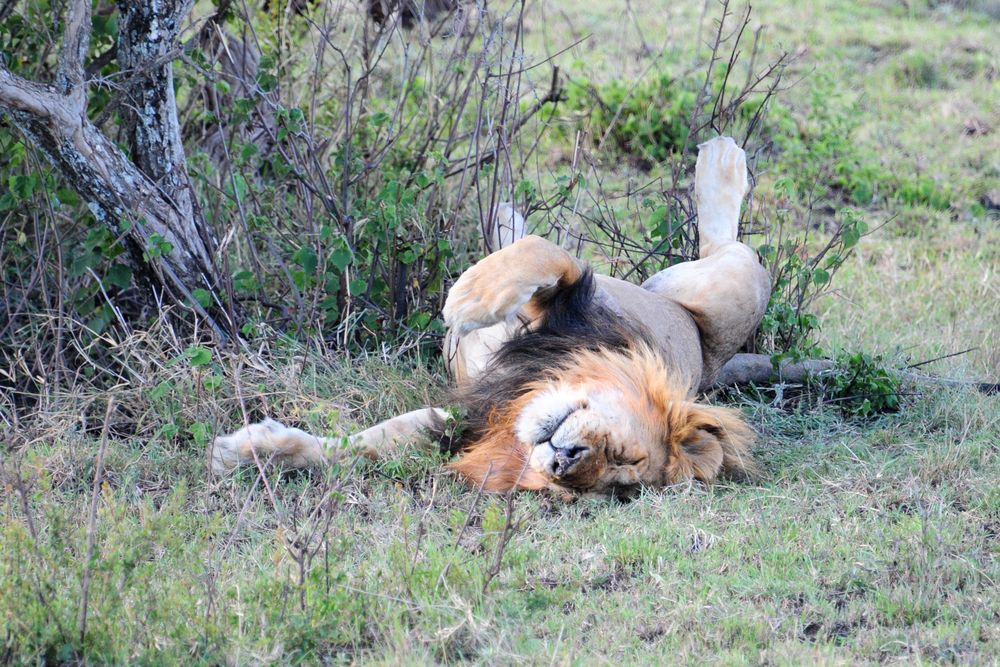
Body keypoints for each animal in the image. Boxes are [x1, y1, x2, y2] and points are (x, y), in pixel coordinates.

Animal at [211, 138, 768, 498]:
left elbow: (366, 446)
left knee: (726, 244)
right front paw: (471, 298)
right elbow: (544, 252)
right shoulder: (574, 301)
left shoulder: (464, 421)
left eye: (614, 479)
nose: (565, 462)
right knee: (726, 242)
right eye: (623, 455)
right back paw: (721, 158)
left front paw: (255, 451)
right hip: (717, 289)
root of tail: (711, 363)